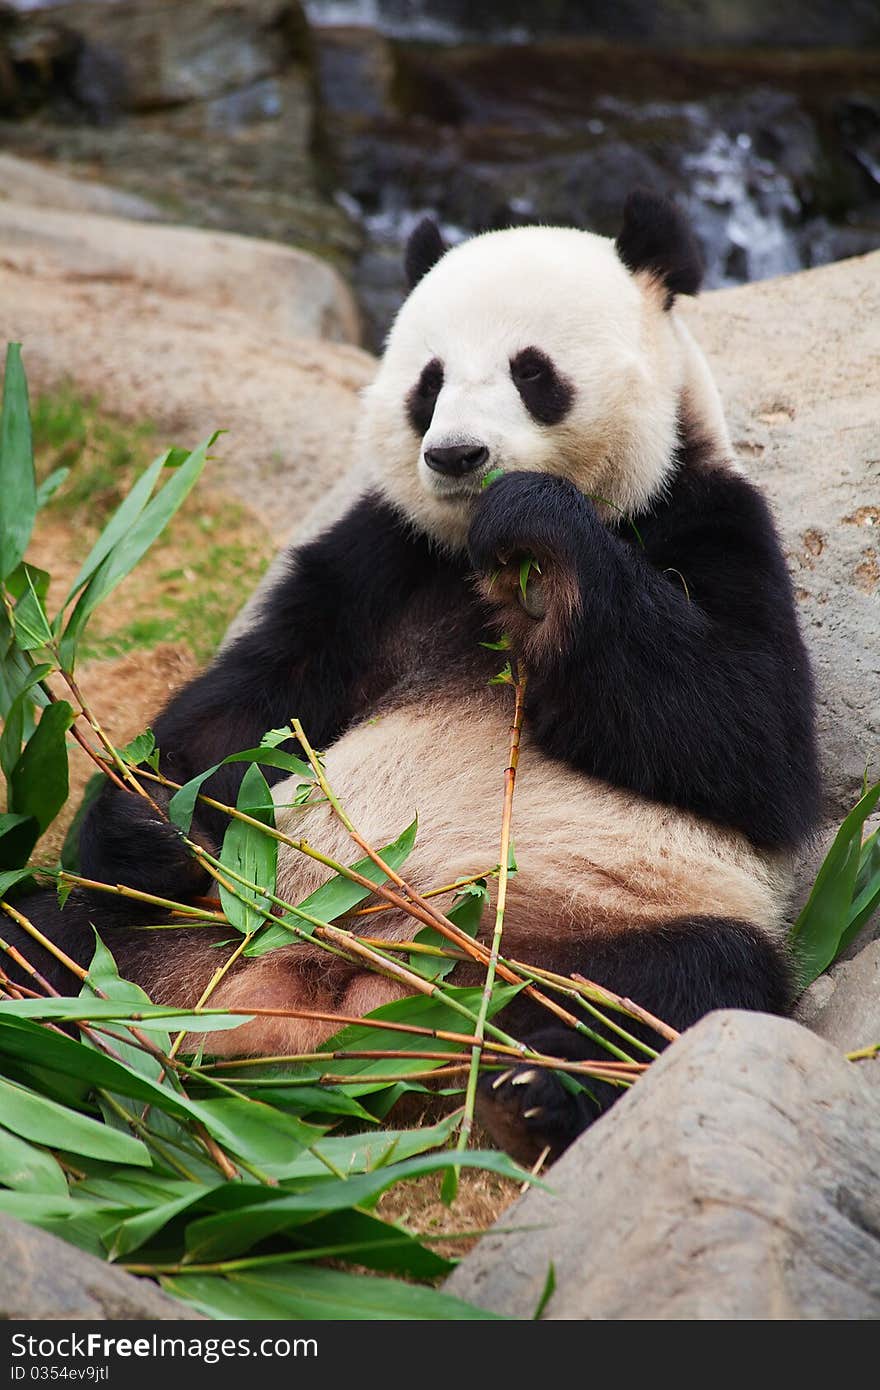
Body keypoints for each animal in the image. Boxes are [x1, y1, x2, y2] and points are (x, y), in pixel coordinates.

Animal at [13, 190, 823, 1156]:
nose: (457, 456)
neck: (474, 557)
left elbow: (748, 735)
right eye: (428, 383)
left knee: (676, 989)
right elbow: (249, 702)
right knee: (51, 936)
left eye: (532, 371)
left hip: (605, 916)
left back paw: (535, 1090)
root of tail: (337, 994)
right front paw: (150, 818)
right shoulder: (381, 559)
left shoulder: (707, 517)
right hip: (203, 918)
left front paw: (540, 537)